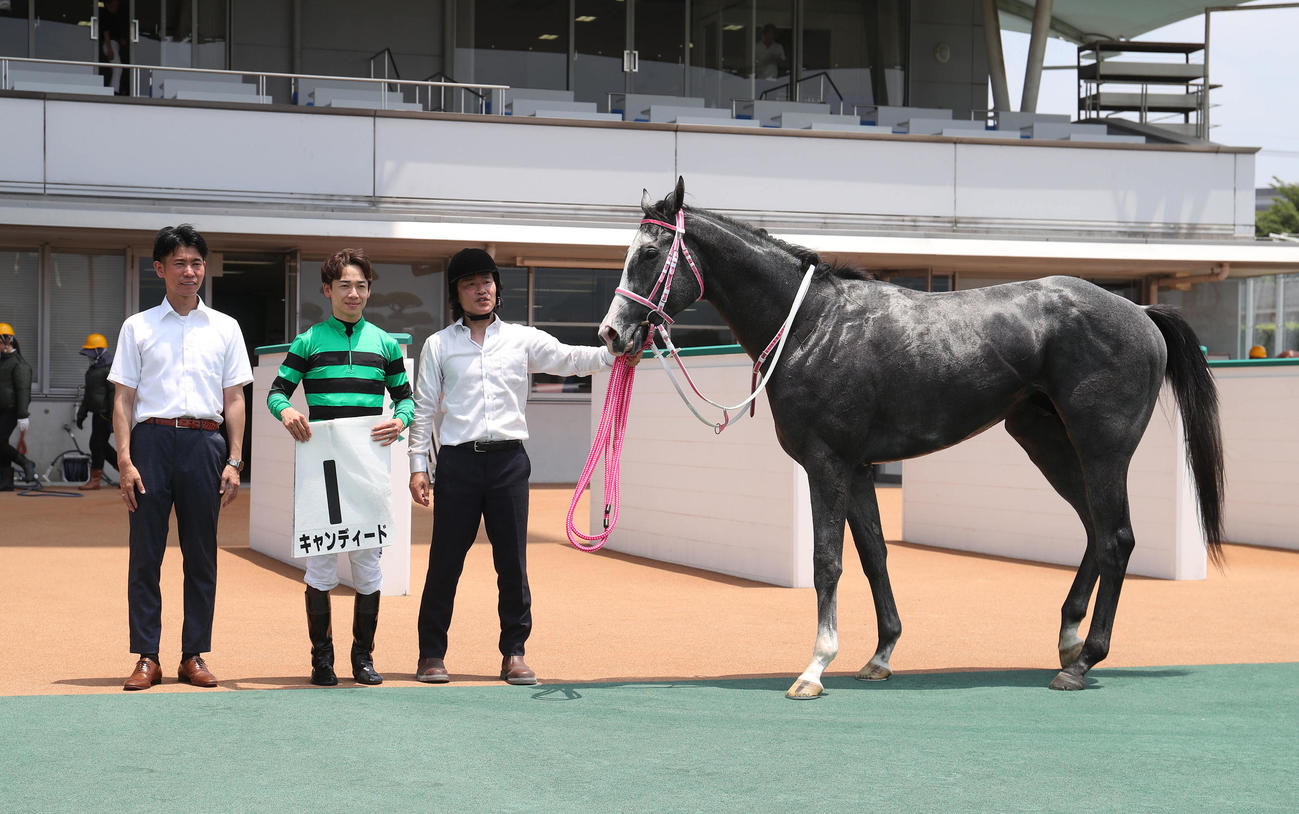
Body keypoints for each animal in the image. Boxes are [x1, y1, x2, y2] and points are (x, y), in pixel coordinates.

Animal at [597, 177, 1225, 699]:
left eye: (648, 254)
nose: (611, 333)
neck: (812, 325)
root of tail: (1140, 312)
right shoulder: (858, 469)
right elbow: (874, 555)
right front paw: (880, 655)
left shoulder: (826, 464)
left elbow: (827, 561)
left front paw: (815, 667)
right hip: (1046, 442)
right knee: (1095, 530)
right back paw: (1068, 641)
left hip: (1101, 449)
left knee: (1116, 537)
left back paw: (1084, 659)